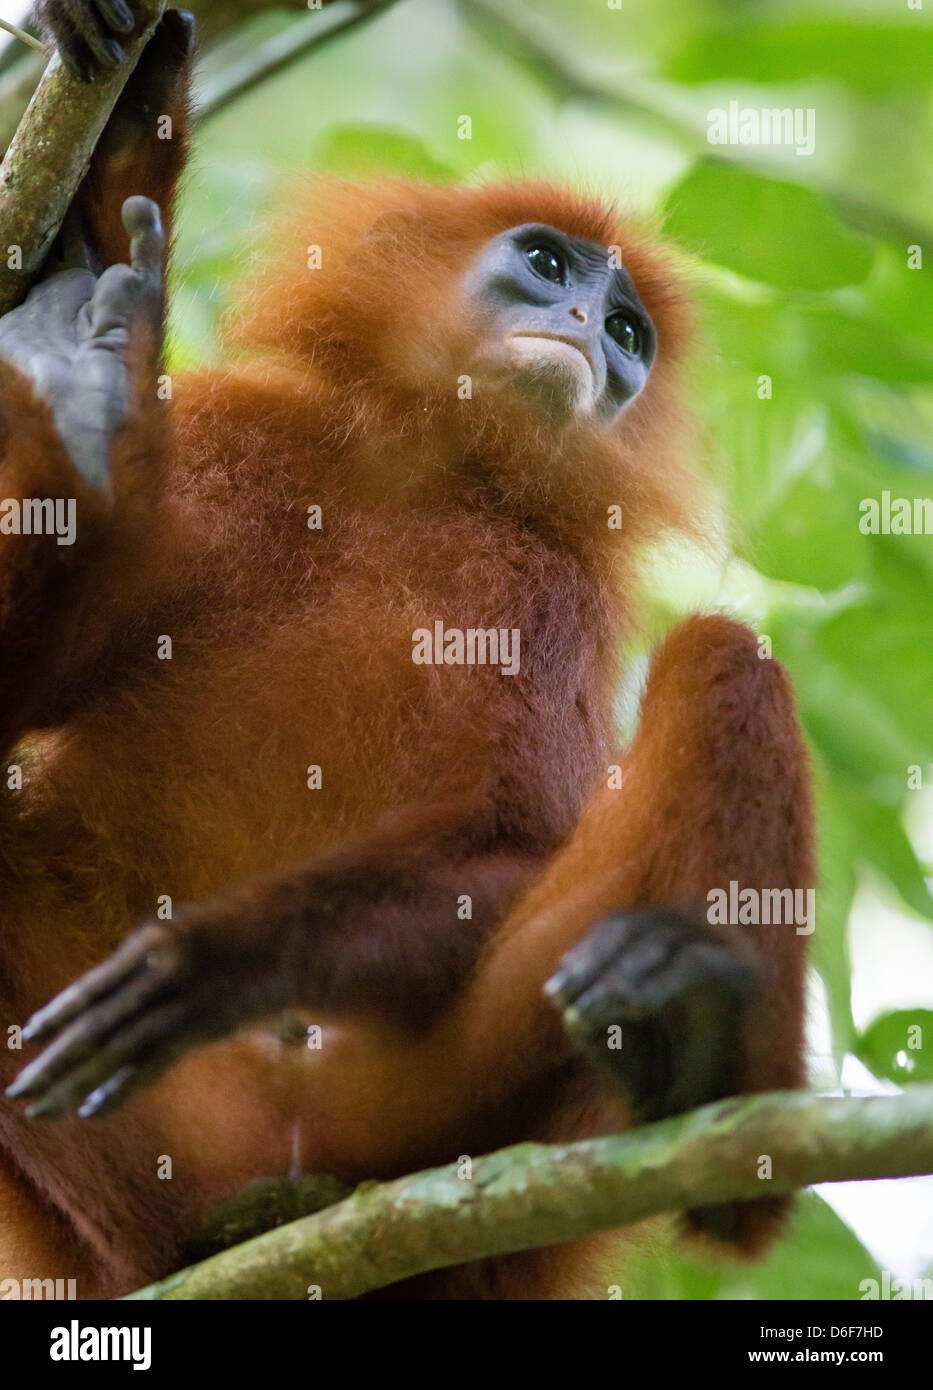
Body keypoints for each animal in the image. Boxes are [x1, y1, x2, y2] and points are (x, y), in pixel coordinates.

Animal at [0, 3, 814, 1299]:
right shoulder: (237, 443)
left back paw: (698, 1037)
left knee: (729, 658)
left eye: (629, 330)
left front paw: (221, 959)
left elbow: (516, 844)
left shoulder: (554, 596)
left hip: (423, 1116)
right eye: (550, 267)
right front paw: (124, 128)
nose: (593, 333)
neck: (424, 479)